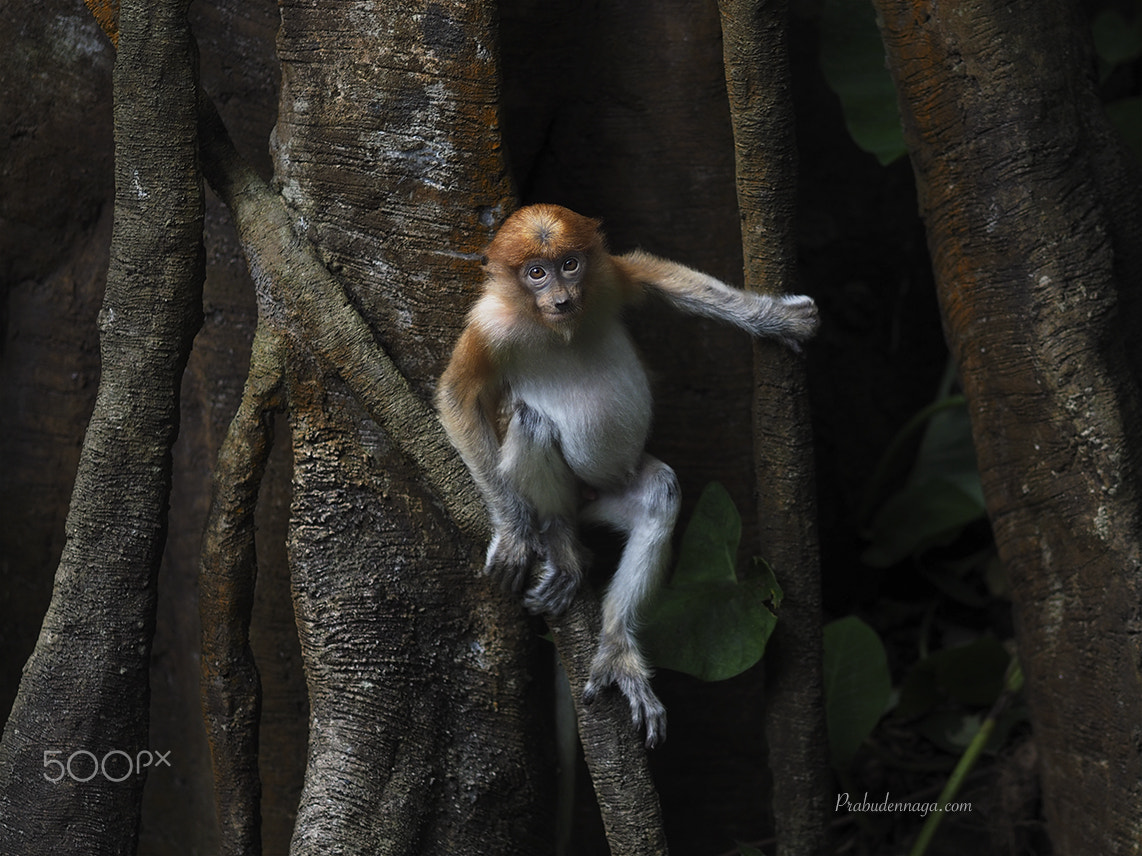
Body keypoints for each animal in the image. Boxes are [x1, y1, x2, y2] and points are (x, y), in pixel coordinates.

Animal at [436, 204, 822, 748]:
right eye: (536, 273)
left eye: (569, 264)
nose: (562, 298)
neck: (558, 327)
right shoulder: (488, 327)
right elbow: (456, 397)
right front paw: (513, 531)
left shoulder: (606, 279)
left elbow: (651, 273)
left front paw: (774, 319)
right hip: (572, 491)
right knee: (532, 422)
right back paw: (561, 542)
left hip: (611, 492)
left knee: (660, 495)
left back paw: (618, 650)